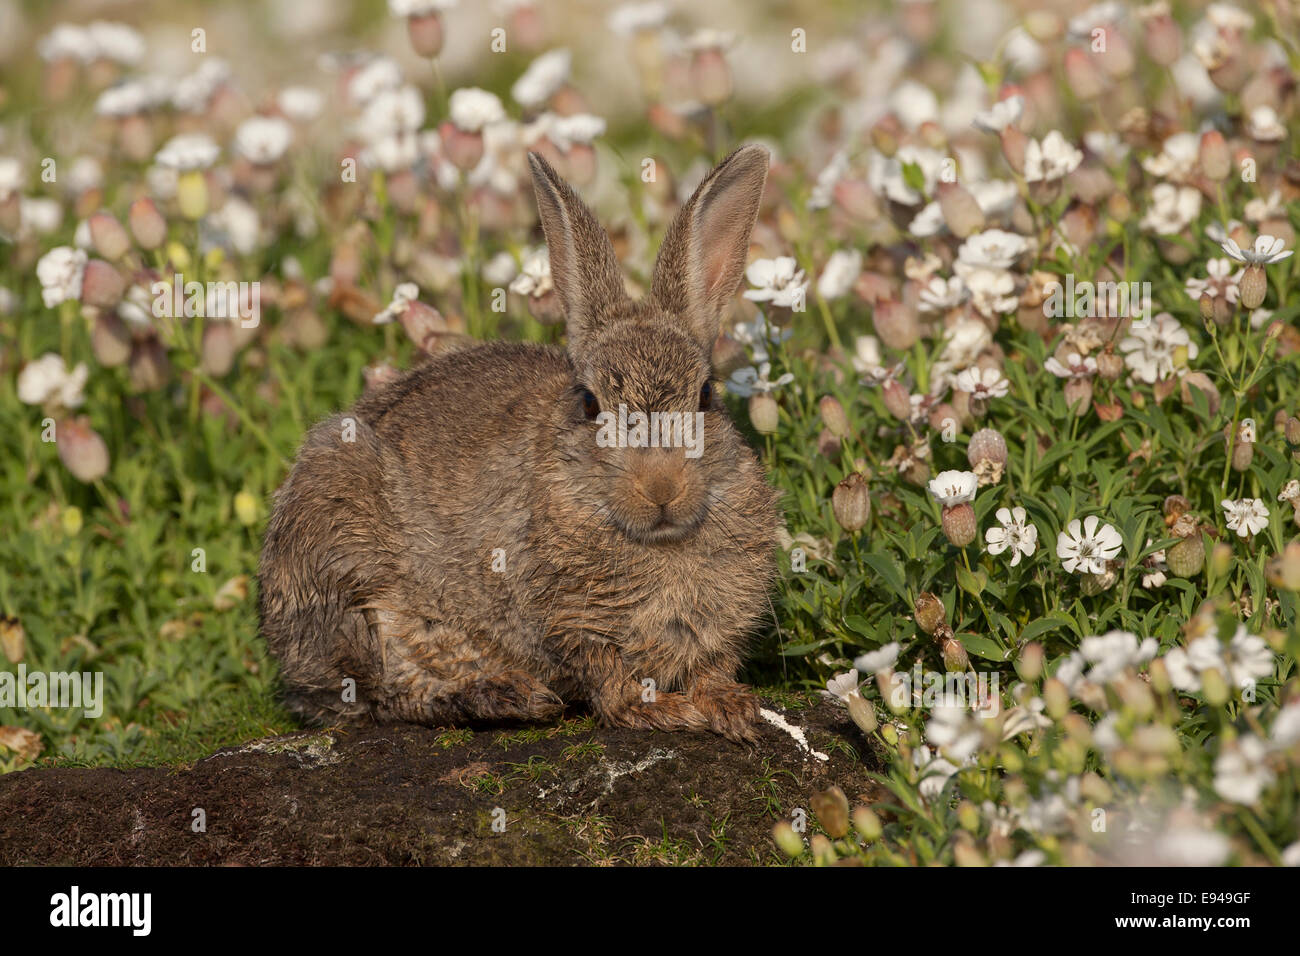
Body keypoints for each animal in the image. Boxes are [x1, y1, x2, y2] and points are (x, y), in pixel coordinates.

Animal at [258, 145, 781, 743]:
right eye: (590, 404)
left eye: (706, 396)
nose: (661, 487)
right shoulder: (572, 623)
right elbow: (608, 681)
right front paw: (659, 711)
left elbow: (711, 667)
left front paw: (730, 707)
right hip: (342, 557)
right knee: (381, 692)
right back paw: (501, 695)